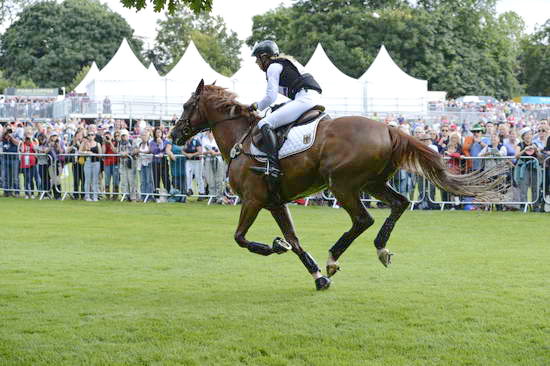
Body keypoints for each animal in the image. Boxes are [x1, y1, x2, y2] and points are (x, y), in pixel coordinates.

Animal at [170, 81, 506, 292]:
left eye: (187, 105)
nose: (173, 134)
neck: (242, 140)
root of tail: (388, 127)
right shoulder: (275, 202)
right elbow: (294, 241)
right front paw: (317, 277)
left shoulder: (253, 200)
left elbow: (241, 238)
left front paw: (273, 247)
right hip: (373, 182)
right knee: (399, 203)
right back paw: (380, 248)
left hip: (343, 185)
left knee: (363, 219)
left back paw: (334, 258)